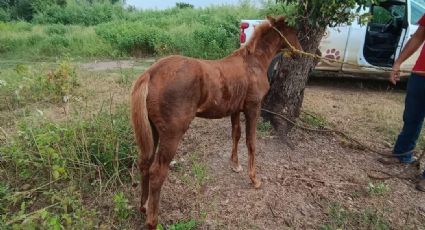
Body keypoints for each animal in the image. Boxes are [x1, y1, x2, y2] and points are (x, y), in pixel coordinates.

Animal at [131, 15, 300, 228]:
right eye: (294, 32)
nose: (300, 52)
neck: (253, 63)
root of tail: (151, 72)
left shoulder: (235, 109)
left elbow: (236, 135)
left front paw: (235, 165)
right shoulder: (253, 108)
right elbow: (251, 142)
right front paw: (254, 179)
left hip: (152, 130)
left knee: (145, 163)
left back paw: (144, 206)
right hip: (172, 134)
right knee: (157, 173)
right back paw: (152, 221)